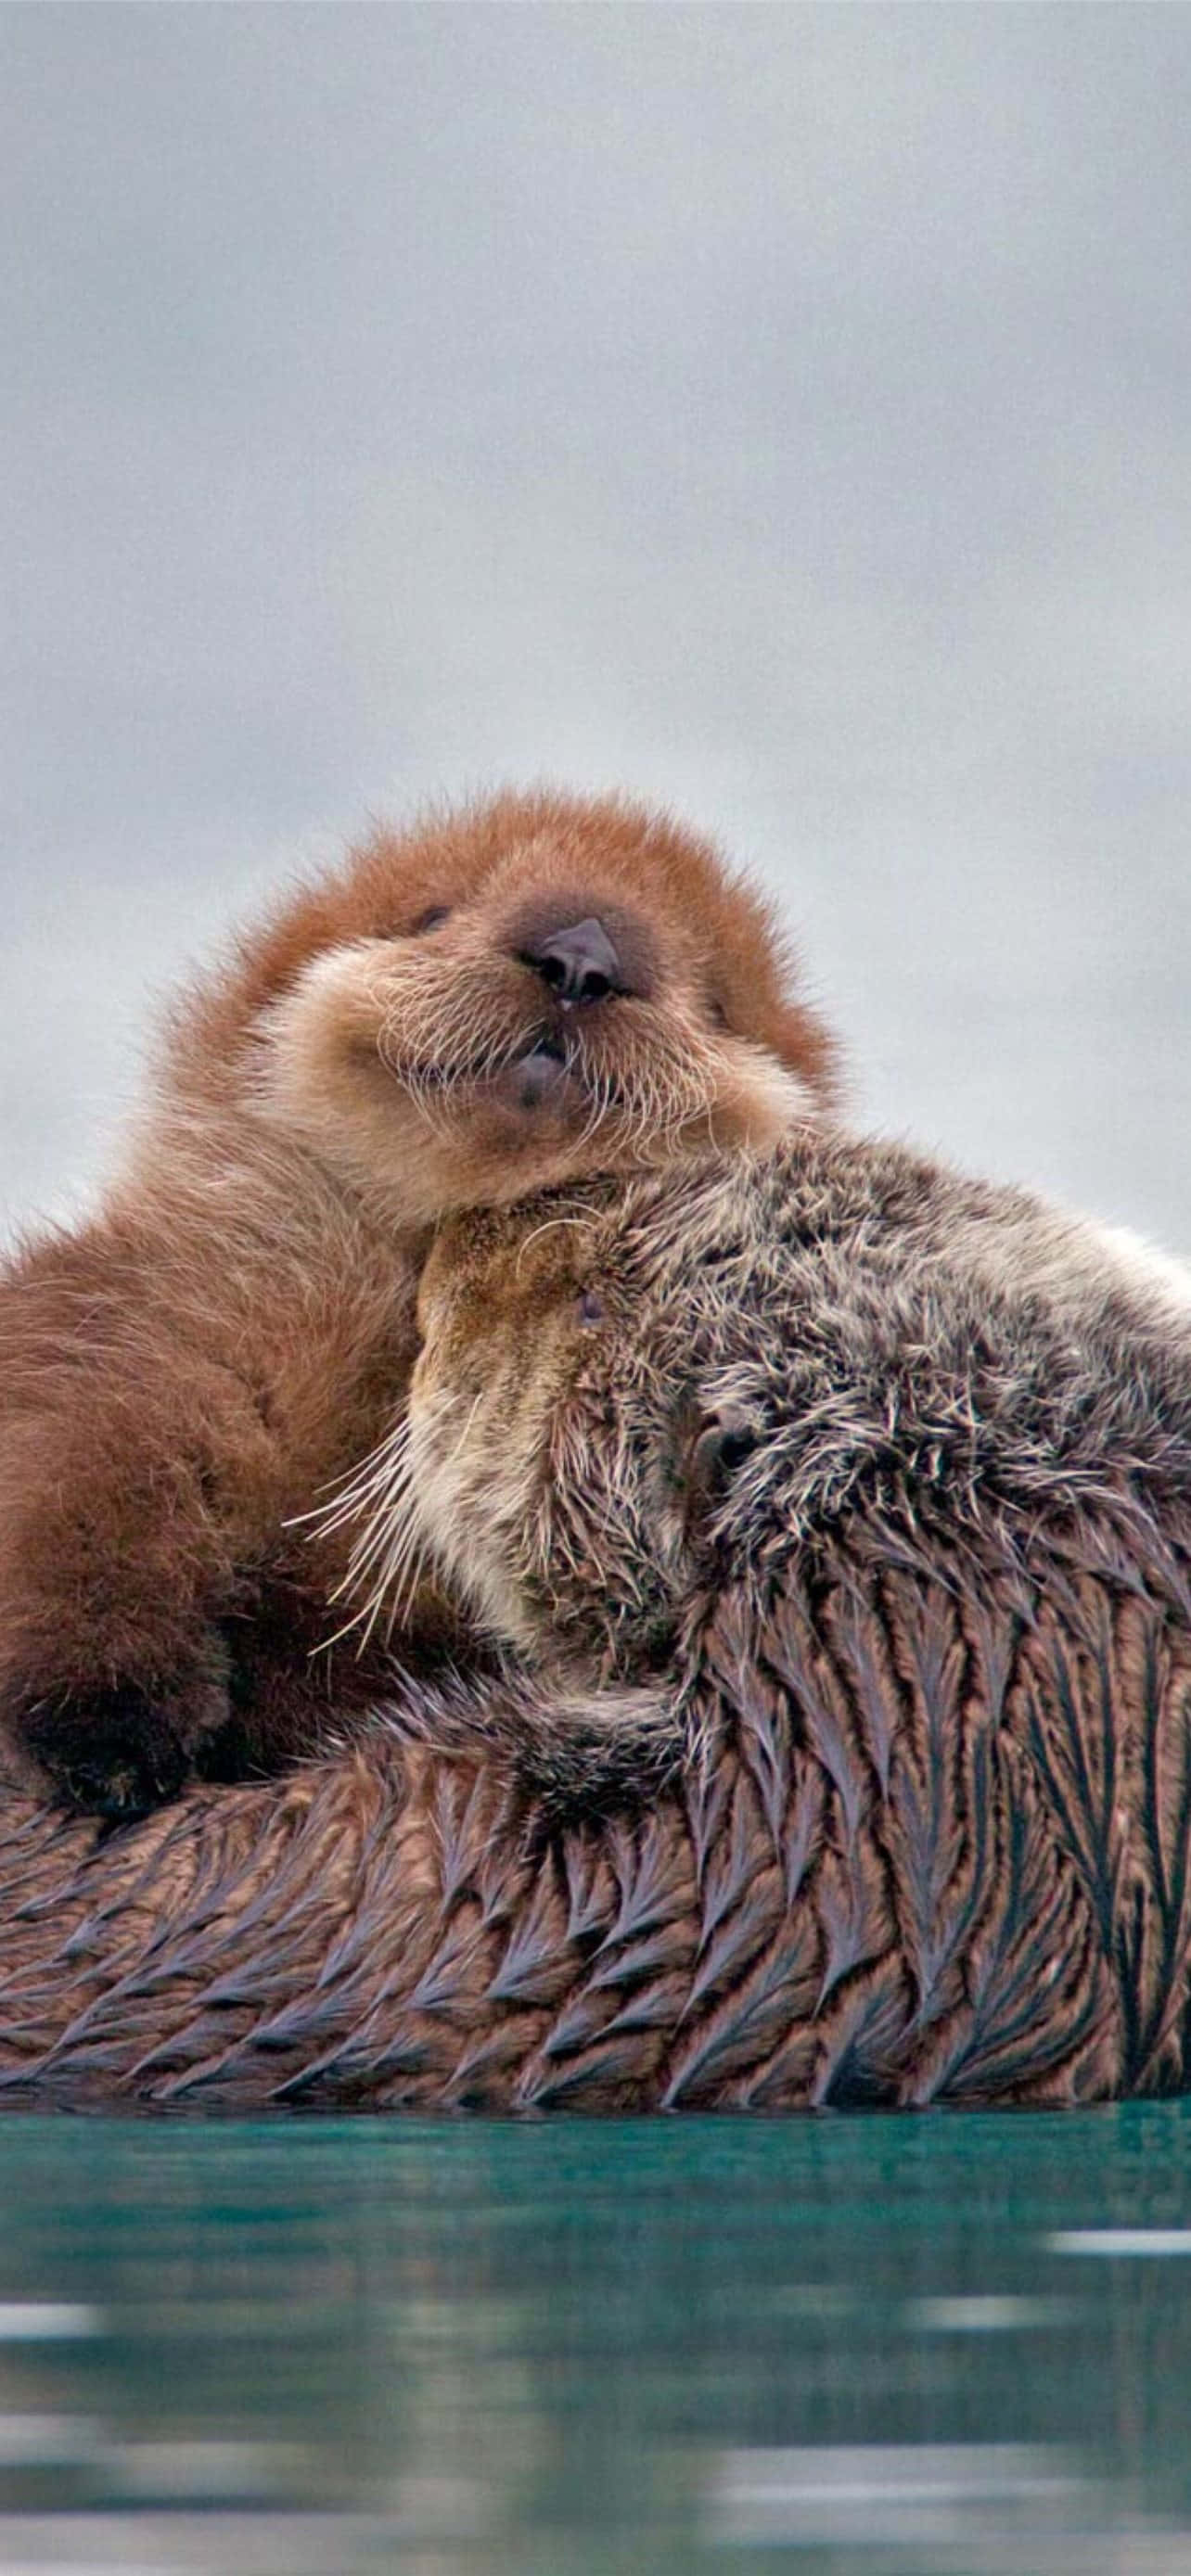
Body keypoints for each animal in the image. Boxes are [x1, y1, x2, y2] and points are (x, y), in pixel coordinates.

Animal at [0, 790, 835, 1818]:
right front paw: (113, 1735)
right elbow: (78, 1482)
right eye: (434, 914)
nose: (582, 956)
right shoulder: (142, 1322)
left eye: (715, 998)